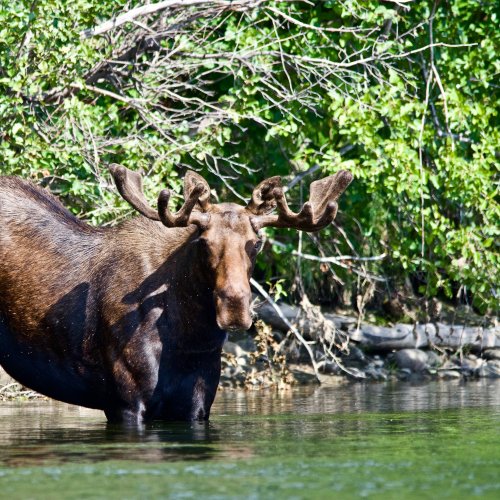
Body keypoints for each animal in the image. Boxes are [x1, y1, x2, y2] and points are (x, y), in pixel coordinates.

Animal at [0, 167, 352, 422]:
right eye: (204, 242)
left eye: (256, 243)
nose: (234, 308)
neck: (191, 339)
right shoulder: (125, 403)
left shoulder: (197, 403)